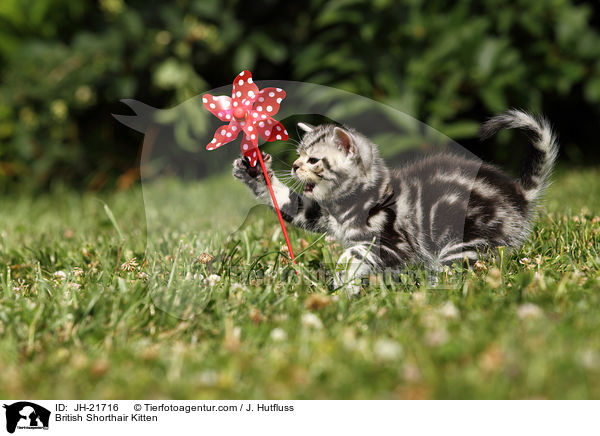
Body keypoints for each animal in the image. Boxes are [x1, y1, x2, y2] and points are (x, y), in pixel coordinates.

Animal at [232, 110, 560, 292]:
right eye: (299, 155)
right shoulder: (319, 213)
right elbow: (289, 202)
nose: (295, 166)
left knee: (455, 270)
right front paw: (255, 172)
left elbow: (351, 255)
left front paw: (343, 286)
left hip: (464, 241)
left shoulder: (393, 244)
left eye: (313, 159)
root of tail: (517, 193)